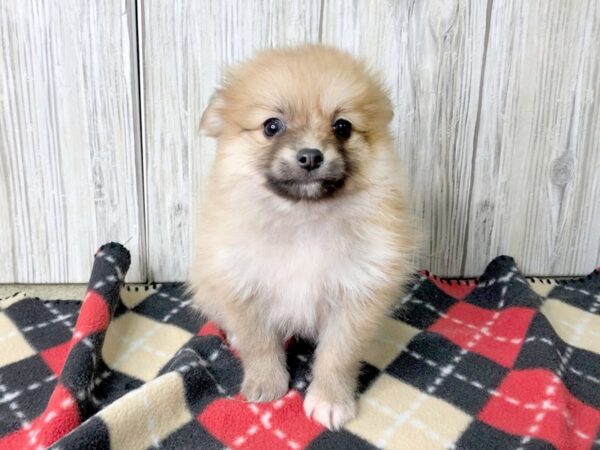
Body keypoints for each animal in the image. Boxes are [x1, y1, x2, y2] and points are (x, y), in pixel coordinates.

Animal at [190, 44, 414, 428]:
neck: (303, 218)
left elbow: (338, 355)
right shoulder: (243, 283)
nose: (310, 156)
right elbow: (259, 343)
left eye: (342, 127)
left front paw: (330, 400)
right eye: (272, 126)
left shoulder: (356, 294)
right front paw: (266, 384)